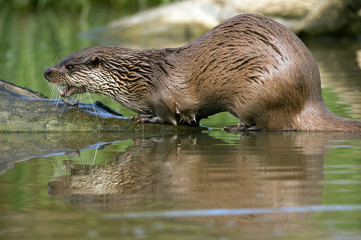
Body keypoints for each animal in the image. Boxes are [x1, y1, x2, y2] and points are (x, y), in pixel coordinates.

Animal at [43, 13, 360, 131]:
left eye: (69, 66)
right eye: (62, 59)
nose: (47, 71)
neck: (140, 77)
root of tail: (310, 98)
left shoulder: (163, 96)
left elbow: (169, 117)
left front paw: (144, 118)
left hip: (258, 91)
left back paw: (236, 127)